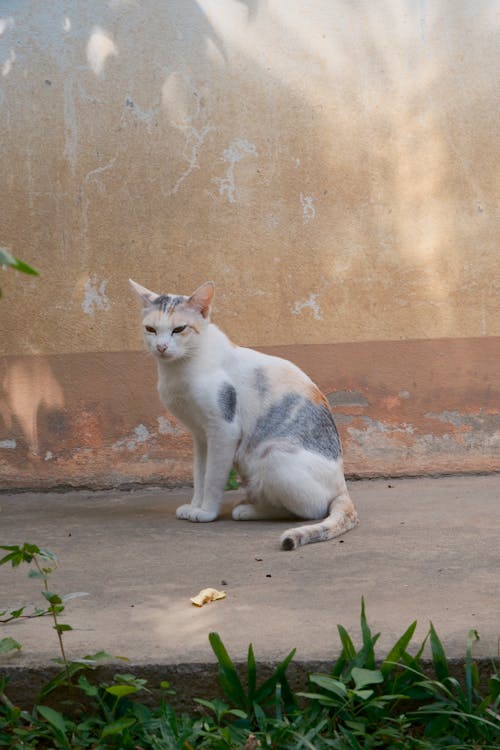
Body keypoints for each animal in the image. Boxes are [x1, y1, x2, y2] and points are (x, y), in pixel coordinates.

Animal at [129, 282, 356, 552]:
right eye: (151, 329)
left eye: (179, 329)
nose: (161, 347)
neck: (179, 370)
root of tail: (342, 484)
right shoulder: (200, 435)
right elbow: (199, 474)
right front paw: (195, 505)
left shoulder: (223, 430)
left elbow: (213, 477)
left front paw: (206, 512)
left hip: (274, 454)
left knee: (310, 510)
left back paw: (249, 510)